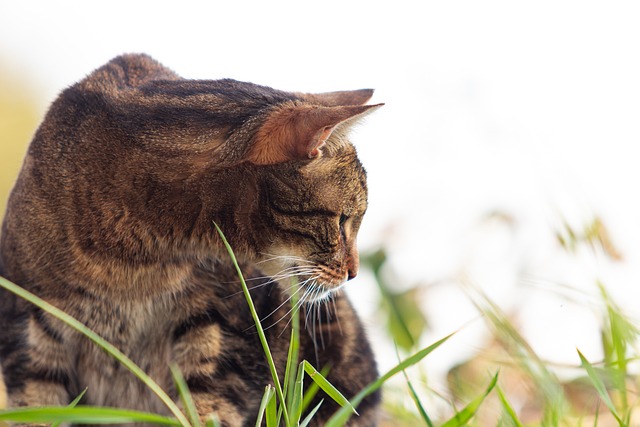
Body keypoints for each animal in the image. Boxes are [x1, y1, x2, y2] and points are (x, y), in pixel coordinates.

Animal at [0, 54, 380, 427]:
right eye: (342, 221)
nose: (353, 272)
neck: (135, 262)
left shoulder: (225, 334)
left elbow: (202, 409)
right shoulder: (30, 328)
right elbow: (37, 410)